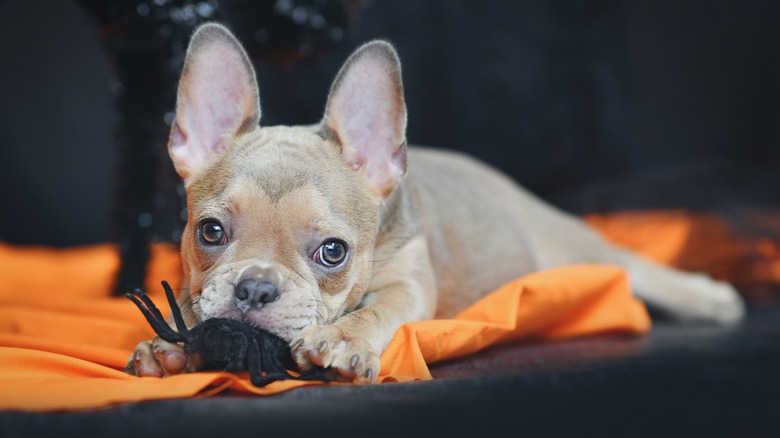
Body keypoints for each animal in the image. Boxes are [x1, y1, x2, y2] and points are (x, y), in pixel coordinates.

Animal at [125, 22, 748, 382]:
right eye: (209, 232)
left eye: (333, 252)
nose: (254, 288)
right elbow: (190, 312)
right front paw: (167, 345)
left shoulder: (407, 283)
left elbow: (377, 308)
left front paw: (342, 339)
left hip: (576, 246)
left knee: (634, 265)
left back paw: (709, 298)